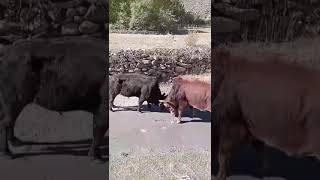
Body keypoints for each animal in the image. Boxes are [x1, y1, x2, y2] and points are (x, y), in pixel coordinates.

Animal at [212, 48, 320, 180]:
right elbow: (259, 148)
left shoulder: (232, 122)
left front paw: (219, 176)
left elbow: (223, 151)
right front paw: (263, 172)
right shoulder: (251, 125)